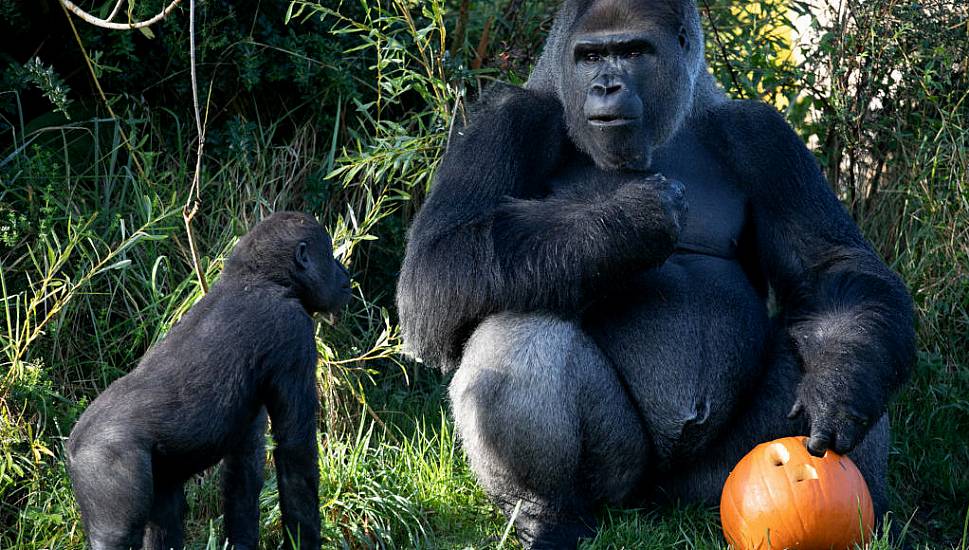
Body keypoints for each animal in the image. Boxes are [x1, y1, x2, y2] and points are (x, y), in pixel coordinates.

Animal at [64, 213, 346, 550]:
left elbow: (245, 465)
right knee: (115, 535)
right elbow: (295, 455)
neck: (258, 277)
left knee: (164, 511)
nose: (344, 274)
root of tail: (73, 447)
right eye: (328, 255)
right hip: (102, 461)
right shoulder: (293, 330)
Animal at [396, 2, 916, 548]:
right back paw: (548, 516)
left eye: (632, 52)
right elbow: (436, 266)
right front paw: (629, 219)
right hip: (623, 485)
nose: (606, 85)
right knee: (516, 328)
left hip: (713, 485)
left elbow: (832, 271)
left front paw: (842, 386)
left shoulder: (763, 135)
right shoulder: (505, 121)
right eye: (590, 56)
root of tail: (661, 506)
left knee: (835, 337)